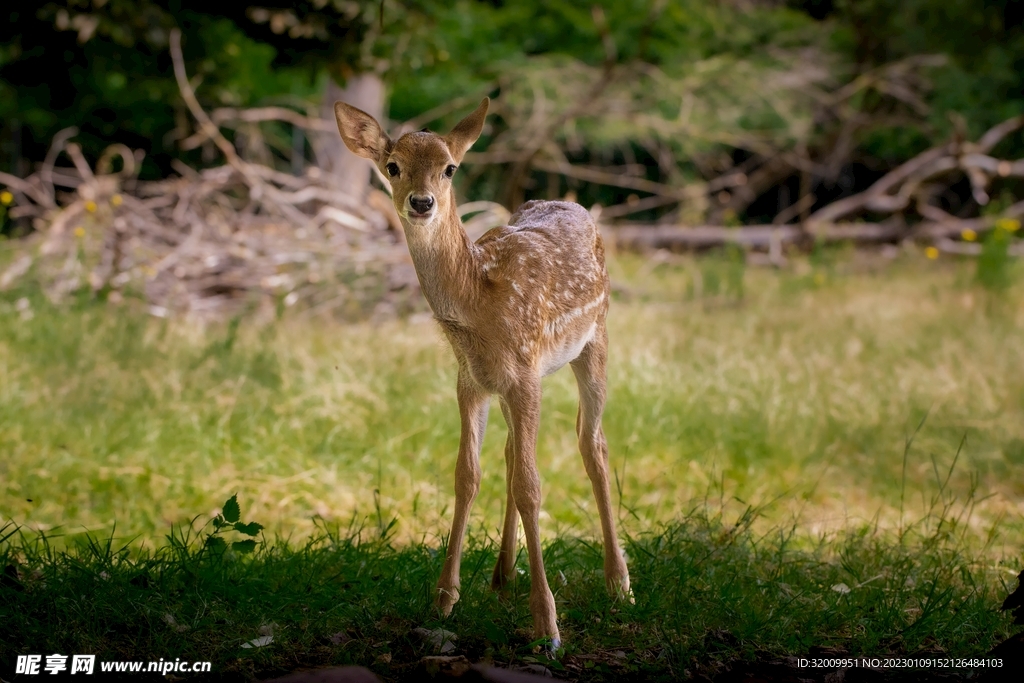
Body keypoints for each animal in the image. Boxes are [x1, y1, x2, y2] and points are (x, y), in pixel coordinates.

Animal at [333, 97, 631, 649]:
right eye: (392, 166)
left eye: (450, 167)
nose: (422, 202)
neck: (478, 300)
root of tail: (576, 205)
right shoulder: (471, 379)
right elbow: (467, 475)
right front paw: (444, 598)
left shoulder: (525, 375)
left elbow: (532, 486)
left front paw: (548, 626)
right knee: (515, 453)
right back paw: (502, 576)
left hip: (596, 338)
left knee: (593, 444)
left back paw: (619, 582)